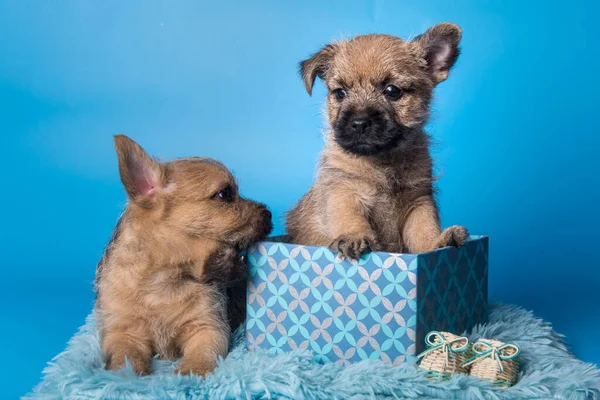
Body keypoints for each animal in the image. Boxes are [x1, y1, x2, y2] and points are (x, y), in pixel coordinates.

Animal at [95, 136, 272, 376]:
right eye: (224, 194)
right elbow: (125, 356)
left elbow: (202, 353)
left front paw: (191, 373)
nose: (269, 213)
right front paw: (126, 375)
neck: (164, 281)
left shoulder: (208, 328)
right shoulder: (122, 332)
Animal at [286, 24, 468, 260]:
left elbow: (424, 230)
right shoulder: (343, 191)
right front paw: (354, 237)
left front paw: (438, 242)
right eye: (340, 93)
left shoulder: (419, 202)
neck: (382, 160)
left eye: (392, 91)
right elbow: (350, 218)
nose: (359, 122)